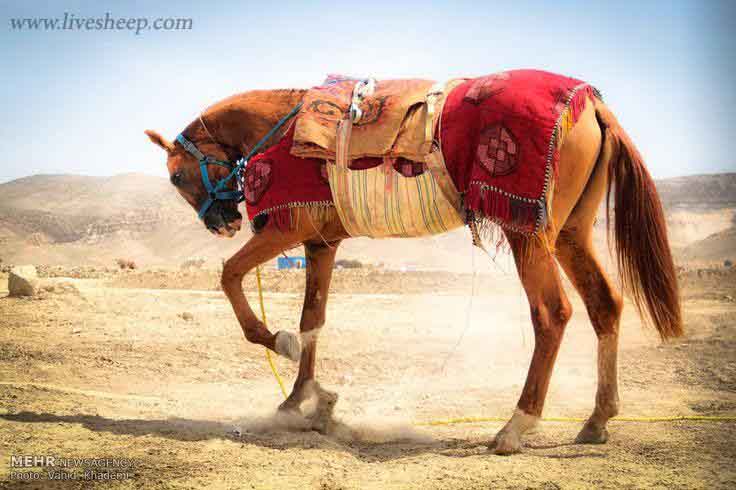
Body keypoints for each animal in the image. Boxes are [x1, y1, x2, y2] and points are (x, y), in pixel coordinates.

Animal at [145, 76, 684, 456]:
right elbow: (313, 321)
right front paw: (305, 402)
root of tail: (589, 102)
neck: (282, 130)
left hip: (527, 231)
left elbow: (230, 276)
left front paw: (277, 343)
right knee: (604, 305)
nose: (222, 223)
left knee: (552, 314)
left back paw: (516, 426)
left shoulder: (285, 231)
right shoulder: (321, 243)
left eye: (176, 177)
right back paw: (597, 420)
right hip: (571, 233)